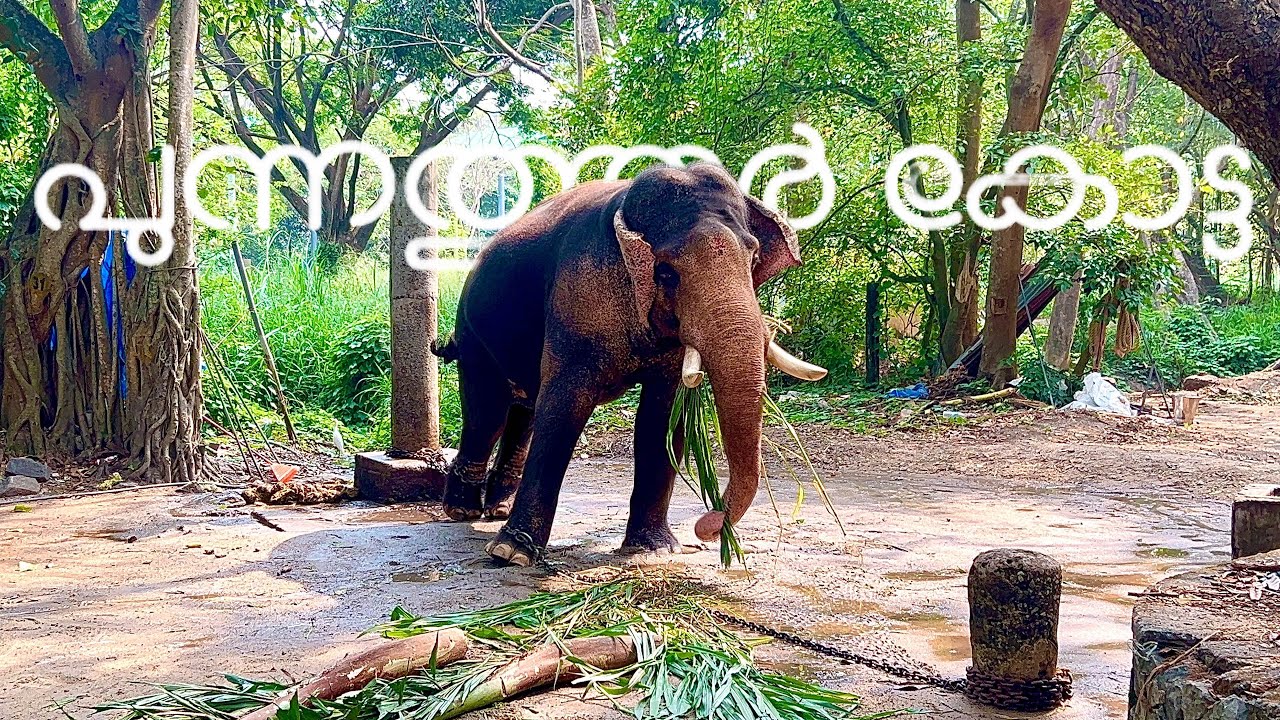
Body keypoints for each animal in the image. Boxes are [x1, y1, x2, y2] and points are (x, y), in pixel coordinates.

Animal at [432, 162, 825, 566]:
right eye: (666, 273)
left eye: (753, 260)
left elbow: (663, 418)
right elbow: (562, 409)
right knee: (488, 416)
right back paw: (463, 512)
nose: (704, 527)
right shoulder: (577, 300)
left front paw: (655, 550)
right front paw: (512, 554)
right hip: (473, 334)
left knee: (521, 412)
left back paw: (496, 510)